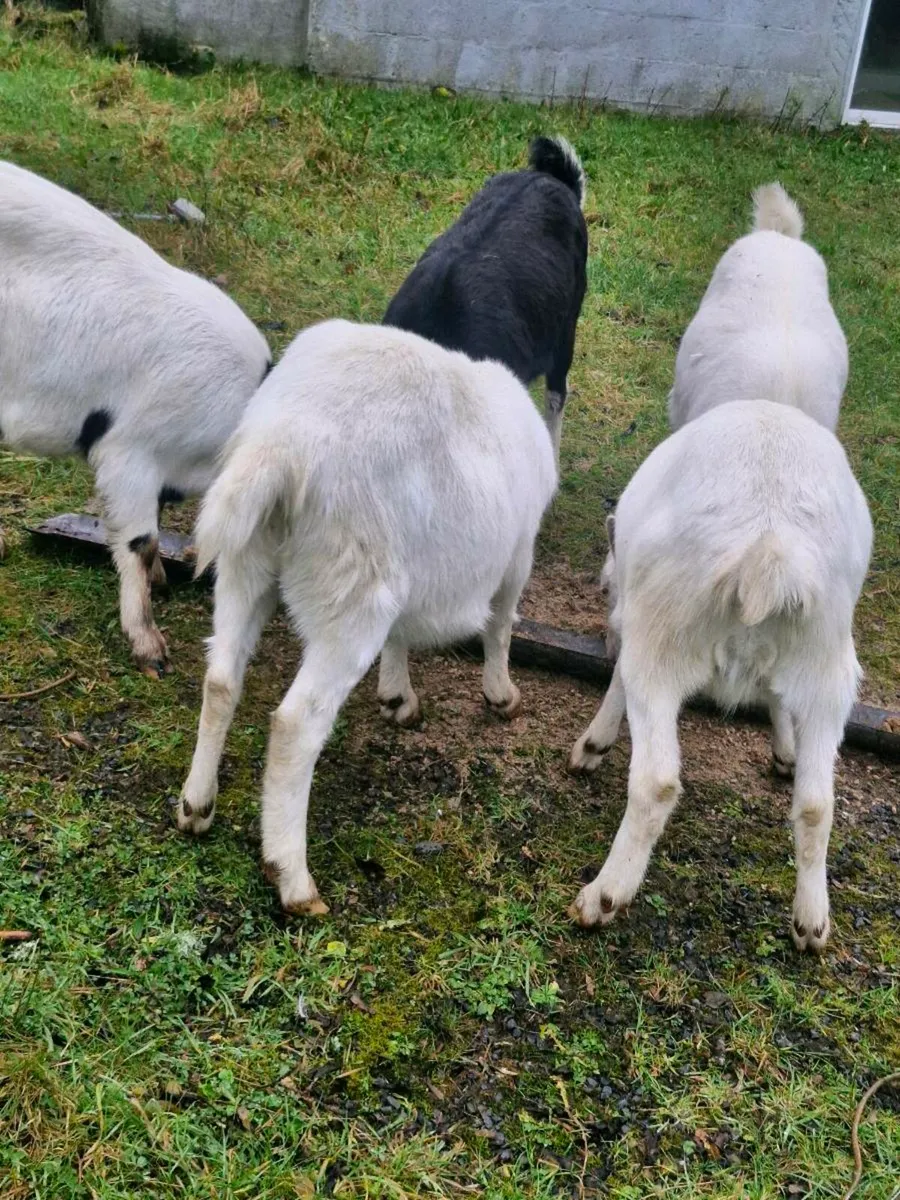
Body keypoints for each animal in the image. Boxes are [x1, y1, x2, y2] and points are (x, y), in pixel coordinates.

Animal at [177, 319, 557, 913]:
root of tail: (281, 443)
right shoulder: (517, 555)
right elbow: (500, 625)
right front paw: (501, 696)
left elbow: (401, 637)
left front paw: (397, 697)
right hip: (353, 592)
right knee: (296, 724)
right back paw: (292, 878)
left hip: (246, 561)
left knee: (220, 679)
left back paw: (196, 804)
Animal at [568, 400, 872, 953]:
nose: (605, 587)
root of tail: (767, 550)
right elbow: (777, 698)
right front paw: (784, 749)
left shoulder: (637, 623)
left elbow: (619, 676)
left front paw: (593, 745)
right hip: (828, 660)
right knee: (817, 803)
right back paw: (811, 921)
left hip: (665, 634)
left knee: (657, 782)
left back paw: (604, 895)